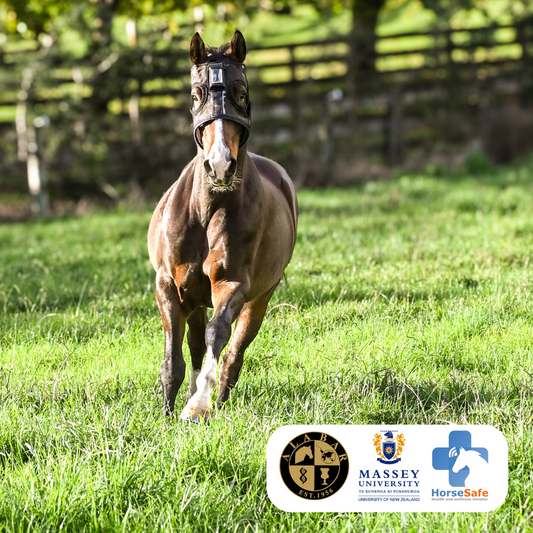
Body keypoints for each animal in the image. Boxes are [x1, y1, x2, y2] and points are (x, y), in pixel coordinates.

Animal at [148, 30, 298, 420]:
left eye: (241, 91)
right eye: (195, 94)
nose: (220, 165)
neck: (208, 209)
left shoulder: (231, 284)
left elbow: (218, 335)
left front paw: (196, 407)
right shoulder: (168, 285)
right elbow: (175, 358)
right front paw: (168, 411)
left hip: (259, 299)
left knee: (233, 353)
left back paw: (217, 398)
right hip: (194, 296)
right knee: (196, 345)